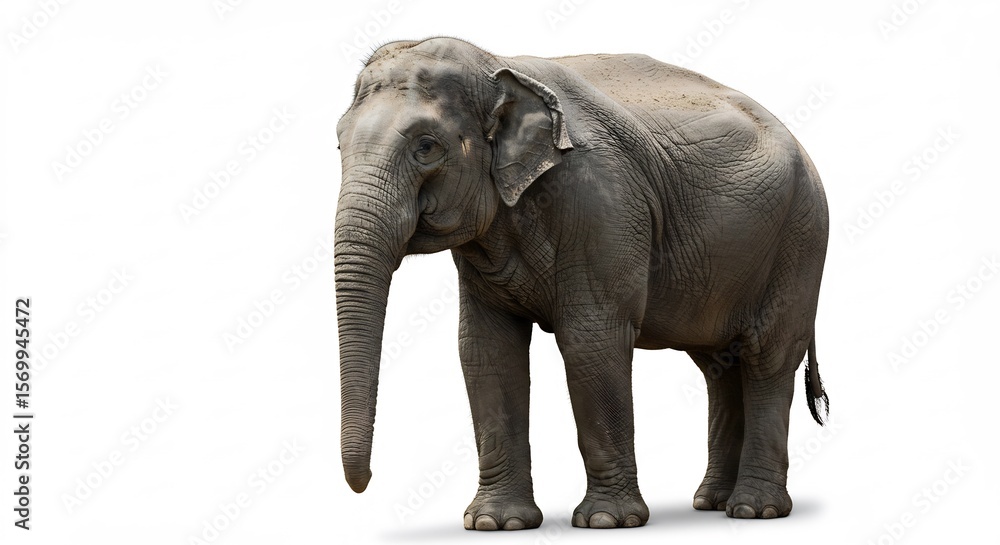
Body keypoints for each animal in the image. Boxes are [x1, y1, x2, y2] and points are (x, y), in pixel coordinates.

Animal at [334, 37, 829, 530]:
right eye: (338, 142)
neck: (498, 65)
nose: (364, 484)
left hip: (800, 242)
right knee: (720, 367)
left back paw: (754, 510)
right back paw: (711, 502)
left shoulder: (601, 203)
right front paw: (496, 523)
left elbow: (590, 340)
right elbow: (485, 349)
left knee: (767, 359)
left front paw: (607, 521)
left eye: (426, 147)